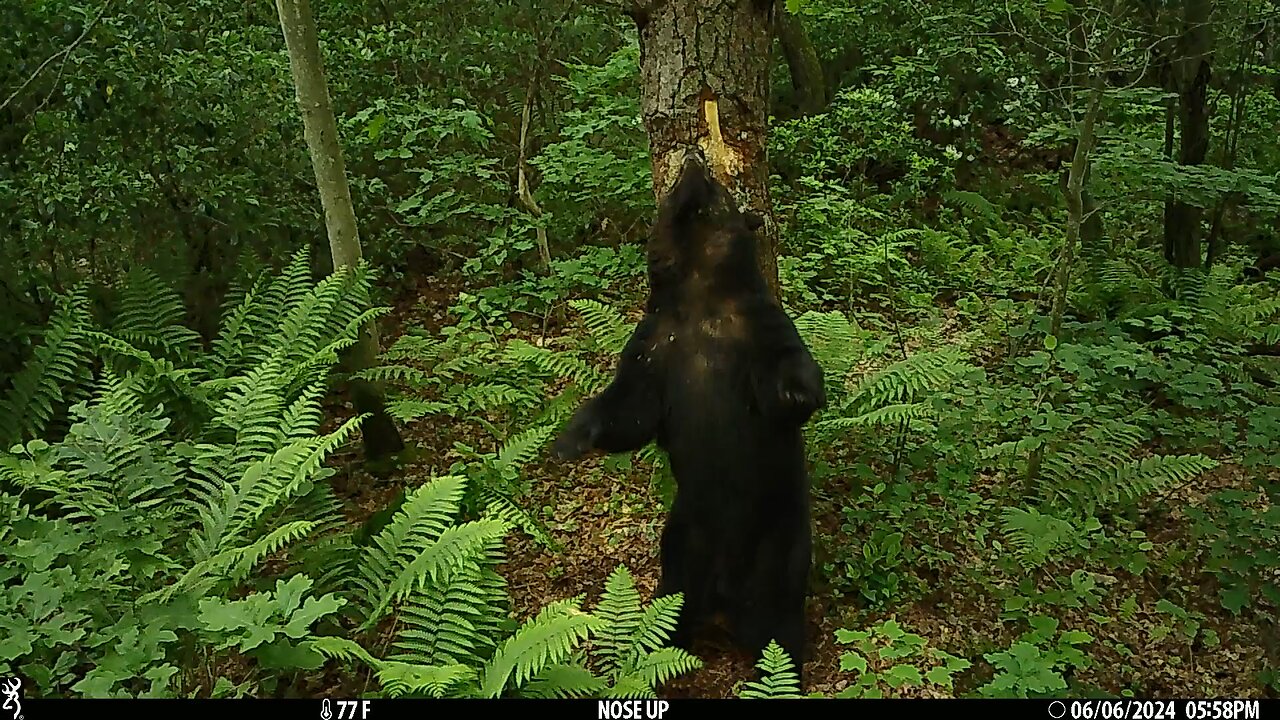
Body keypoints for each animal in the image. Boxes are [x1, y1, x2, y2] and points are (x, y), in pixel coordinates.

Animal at [555, 155, 824, 676]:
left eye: (717, 187)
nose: (696, 158)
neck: (703, 297)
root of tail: (724, 600)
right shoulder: (656, 344)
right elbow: (630, 409)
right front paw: (570, 438)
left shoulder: (756, 327)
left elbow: (787, 368)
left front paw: (802, 391)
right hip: (683, 539)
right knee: (671, 605)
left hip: (779, 544)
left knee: (781, 626)